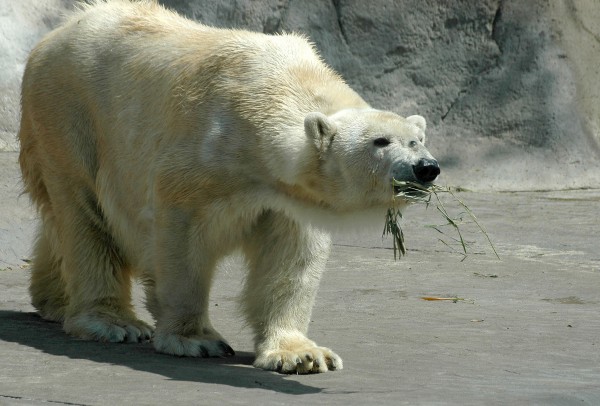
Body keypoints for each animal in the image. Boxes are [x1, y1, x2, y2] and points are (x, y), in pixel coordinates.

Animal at [19, 0, 440, 374]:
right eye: (381, 141)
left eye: (417, 140)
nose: (427, 168)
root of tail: (57, 32)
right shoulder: (201, 161)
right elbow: (182, 241)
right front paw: (195, 339)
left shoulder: (286, 196)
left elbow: (290, 258)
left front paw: (301, 354)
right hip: (70, 116)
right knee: (84, 212)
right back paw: (113, 322)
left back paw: (53, 299)